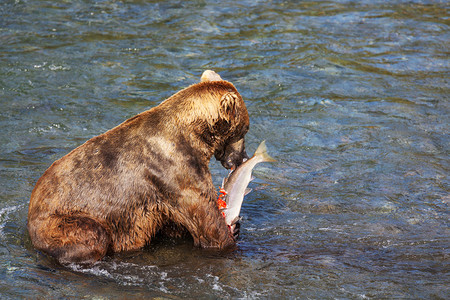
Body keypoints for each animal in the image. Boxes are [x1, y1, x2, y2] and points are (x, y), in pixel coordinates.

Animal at [27, 70, 250, 262]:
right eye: (245, 129)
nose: (243, 157)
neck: (194, 135)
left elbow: (179, 224)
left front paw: (236, 227)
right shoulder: (174, 169)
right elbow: (206, 222)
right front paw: (229, 238)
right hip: (61, 219)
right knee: (92, 234)